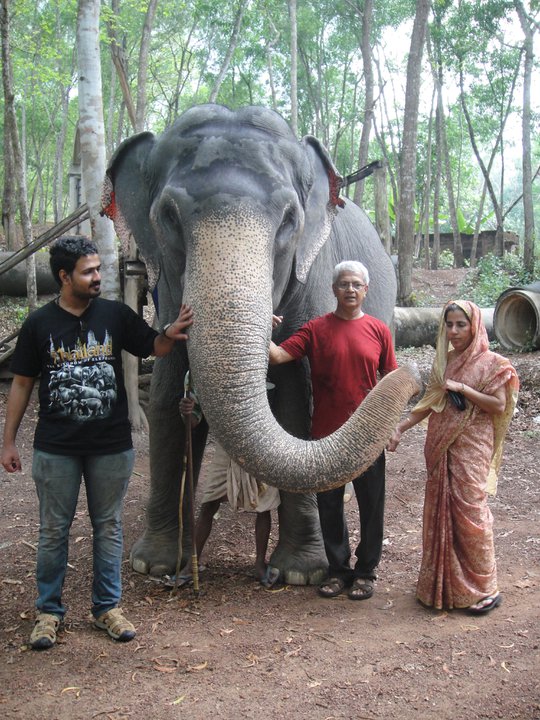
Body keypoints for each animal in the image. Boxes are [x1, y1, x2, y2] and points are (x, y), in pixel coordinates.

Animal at [103, 102, 420, 584]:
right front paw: (153, 563)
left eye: (290, 219)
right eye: (169, 217)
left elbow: (297, 402)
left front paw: (301, 573)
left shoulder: (312, 281)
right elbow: (165, 398)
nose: (415, 374)